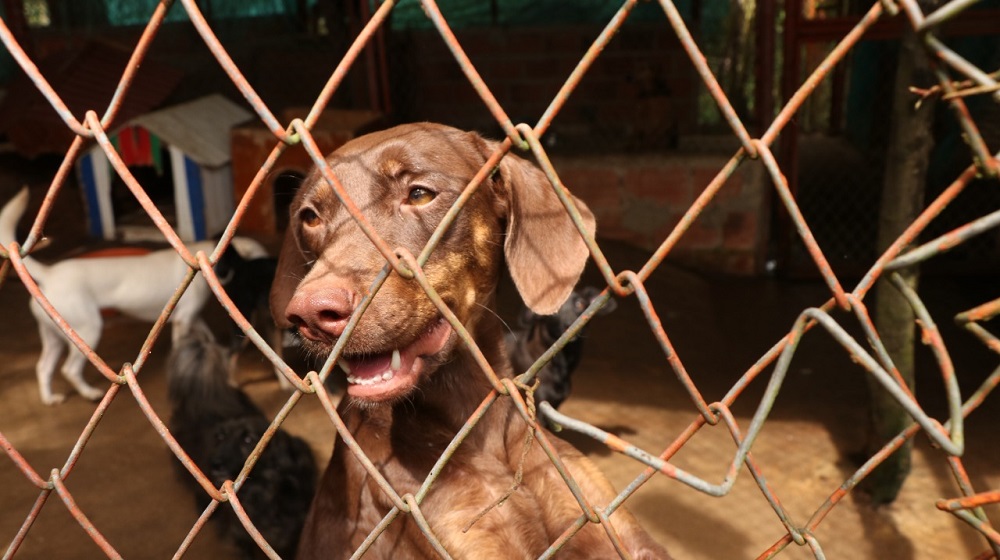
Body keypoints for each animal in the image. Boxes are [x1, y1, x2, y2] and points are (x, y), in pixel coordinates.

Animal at [0, 188, 266, 402]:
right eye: (259, 258)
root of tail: (50, 273)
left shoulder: (191, 317)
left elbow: (207, 336)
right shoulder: (183, 320)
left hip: (54, 337)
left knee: (42, 368)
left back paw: (49, 399)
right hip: (88, 330)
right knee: (69, 369)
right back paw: (90, 394)